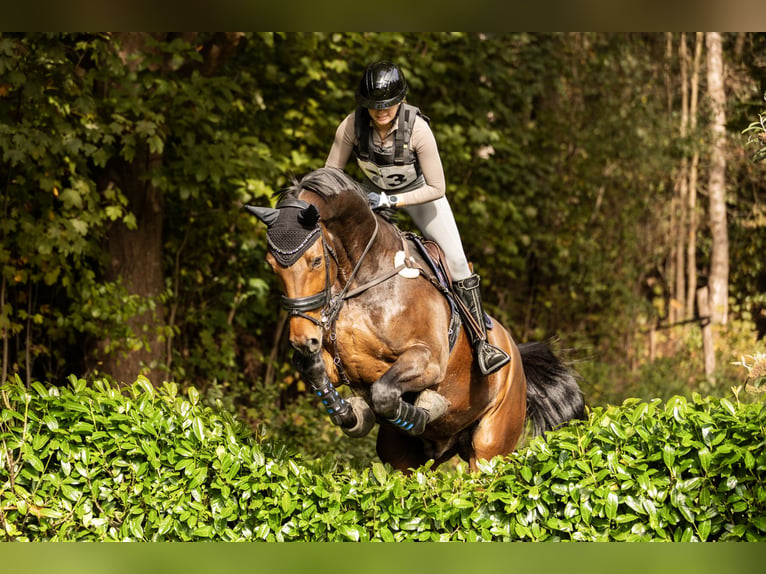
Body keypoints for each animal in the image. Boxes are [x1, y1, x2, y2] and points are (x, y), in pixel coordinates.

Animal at [249, 166, 584, 472]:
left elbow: (384, 392)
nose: (303, 339)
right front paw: (355, 414)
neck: (364, 278)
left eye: (316, 261)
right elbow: (315, 370)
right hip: (404, 458)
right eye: (271, 265)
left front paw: (425, 408)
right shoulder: (340, 365)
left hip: (490, 447)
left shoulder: (428, 361)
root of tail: (516, 355)